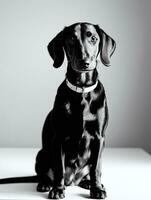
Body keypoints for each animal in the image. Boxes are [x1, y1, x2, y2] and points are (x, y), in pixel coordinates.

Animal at [0, 22, 115, 198]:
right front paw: (57, 190)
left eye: (94, 38)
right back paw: (46, 184)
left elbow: (96, 168)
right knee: (46, 174)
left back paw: (87, 182)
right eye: (71, 40)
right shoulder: (59, 138)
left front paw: (97, 189)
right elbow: (59, 168)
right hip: (42, 154)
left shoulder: (99, 138)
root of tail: (72, 181)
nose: (85, 62)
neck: (82, 91)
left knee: (90, 171)